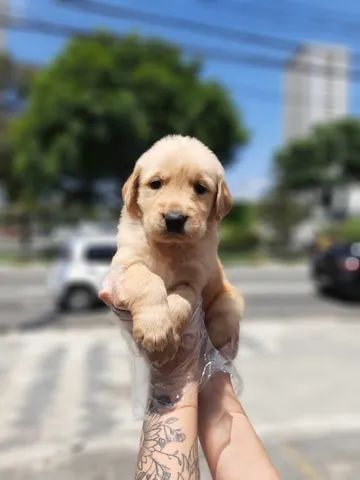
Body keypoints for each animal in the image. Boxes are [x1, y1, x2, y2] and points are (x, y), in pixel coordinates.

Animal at [100, 133, 243, 362]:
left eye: (200, 188)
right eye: (156, 184)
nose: (174, 219)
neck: (170, 248)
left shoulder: (193, 283)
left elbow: (179, 303)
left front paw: (166, 343)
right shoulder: (127, 265)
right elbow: (149, 280)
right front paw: (155, 328)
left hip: (230, 301)